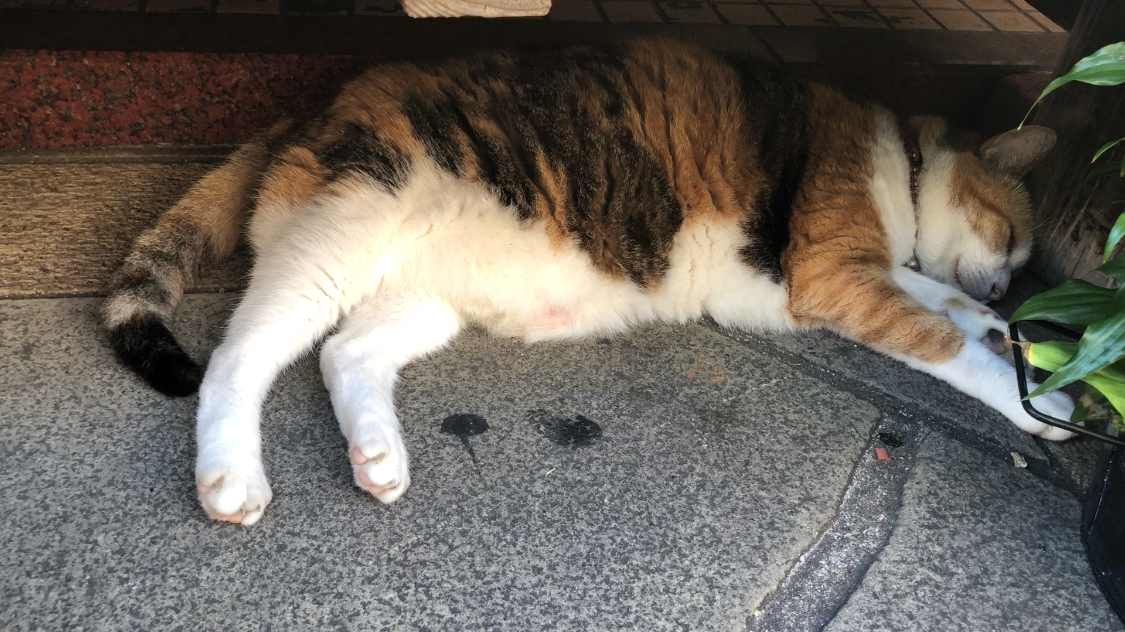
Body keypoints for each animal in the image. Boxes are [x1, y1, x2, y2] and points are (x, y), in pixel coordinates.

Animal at [102, 38, 1073, 526]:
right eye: (1012, 238)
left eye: (1018, 266)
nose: (1005, 296)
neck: (898, 161)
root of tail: (310, 109)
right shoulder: (832, 274)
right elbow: (938, 340)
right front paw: (1038, 402)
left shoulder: (854, 277)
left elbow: (938, 301)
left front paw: (1019, 345)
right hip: (343, 236)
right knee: (242, 357)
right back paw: (229, 476)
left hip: (421, 293)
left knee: (346, 353)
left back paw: (377, 458)